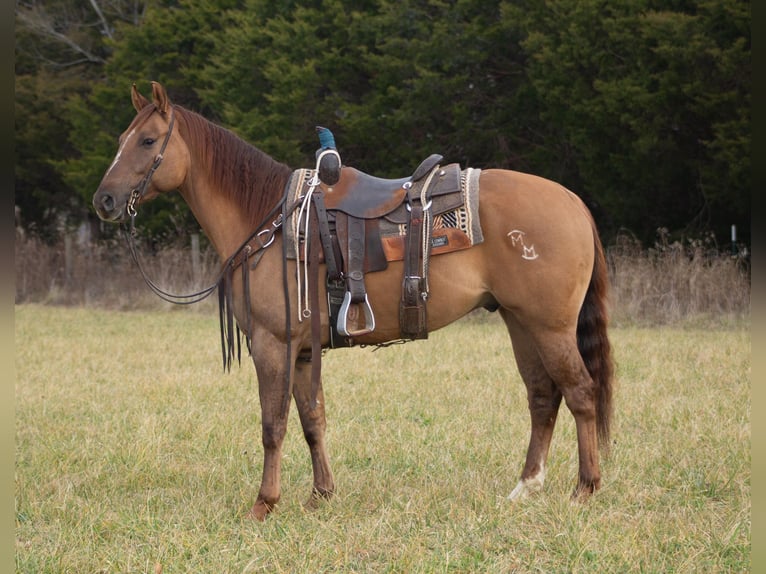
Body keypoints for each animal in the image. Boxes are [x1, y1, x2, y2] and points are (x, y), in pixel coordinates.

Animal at [93, 81, 616, 520]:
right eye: (121, 137)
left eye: (147, 141)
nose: (104, 201)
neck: (270, 221)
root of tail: (573, 201)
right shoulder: (304, 350)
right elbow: (312, 419)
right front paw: (320, 494)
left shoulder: (273, 345)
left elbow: (273, 424)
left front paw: (264, 503)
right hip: (519, 322)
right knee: (542, 396)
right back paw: (525, 487)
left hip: (550, 327)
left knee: (580, 392)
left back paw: (585, 488)